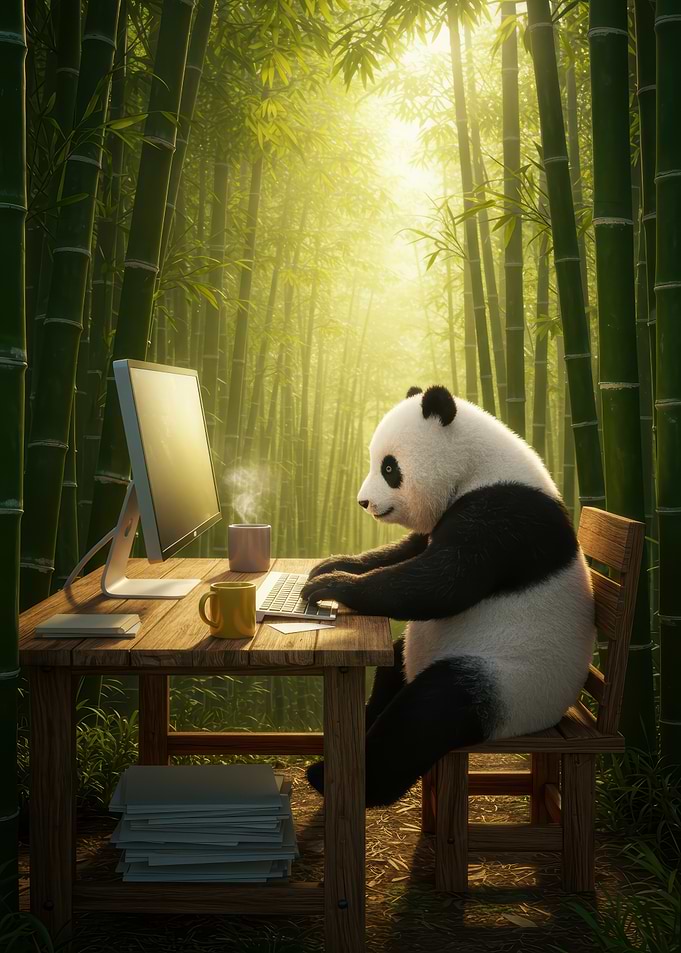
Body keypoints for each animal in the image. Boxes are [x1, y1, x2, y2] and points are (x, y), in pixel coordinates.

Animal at [301, 384, 595, 808]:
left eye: (389, 468)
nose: (364, 502)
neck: (477, 464)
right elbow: (410, 550)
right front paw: (332, 565)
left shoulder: (504, 516)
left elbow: (443, 582)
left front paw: (330, 586)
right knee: (393, 667)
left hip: (513, 682)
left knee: (430, 710)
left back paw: (331, 777)